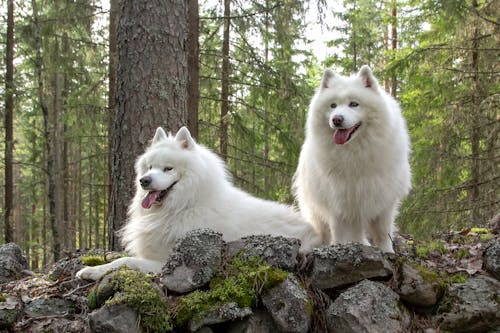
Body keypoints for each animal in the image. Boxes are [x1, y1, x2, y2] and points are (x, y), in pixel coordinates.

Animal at [78, 126, 320, 278]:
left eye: (168, 168)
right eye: (150, 167)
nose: (144, 181)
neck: (185, 206)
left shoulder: (163, 262)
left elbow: (124, 262)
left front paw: (93, 272)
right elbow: (118, 260)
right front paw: (92, 269)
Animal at [292, 65, 410, 252]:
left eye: (354, 104)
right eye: (333, 105)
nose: (336, 119)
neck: (354, 152)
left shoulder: (383, 200)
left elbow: (383, 232)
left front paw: (387, 251)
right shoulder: (339, 203)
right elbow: (342, 233)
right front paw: (341, 247)